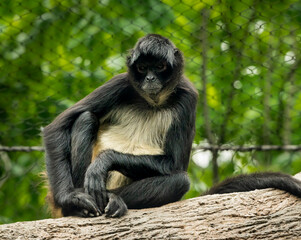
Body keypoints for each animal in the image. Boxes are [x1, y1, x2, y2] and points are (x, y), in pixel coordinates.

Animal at [42, 33, 197, 218]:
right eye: (142, 68)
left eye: (160, 66)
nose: (150, 78)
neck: (152, 103)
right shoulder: (120, 83)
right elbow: (56, 127)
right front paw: (71, 197)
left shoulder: (188, 97)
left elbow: (174, 164)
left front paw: (105, 161)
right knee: (85, 118)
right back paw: (75, 206)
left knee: (180, 181)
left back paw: (113, 198)